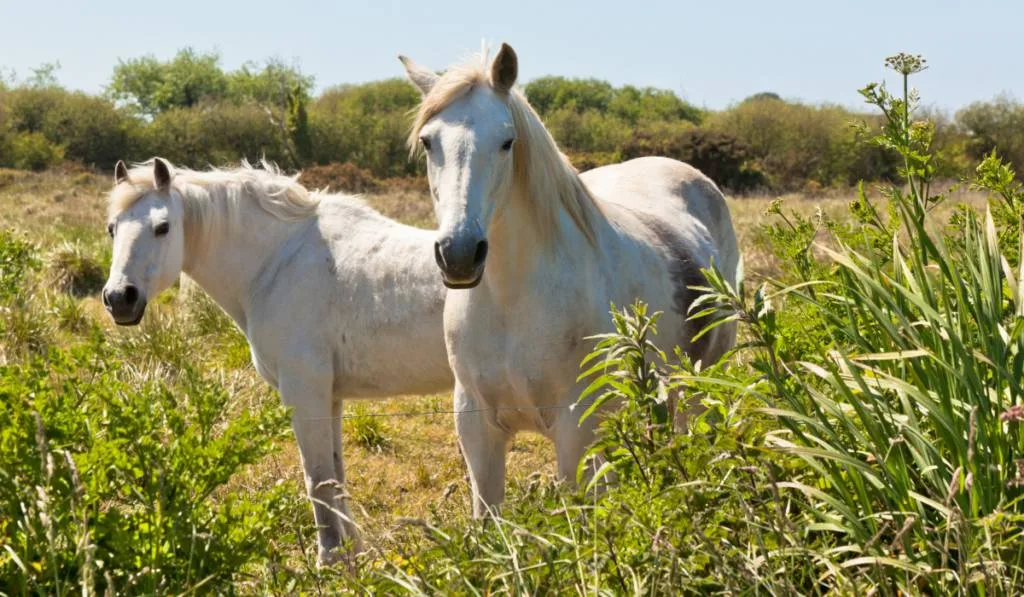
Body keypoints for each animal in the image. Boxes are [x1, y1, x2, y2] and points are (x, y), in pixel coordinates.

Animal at [101, 158, 450, 565]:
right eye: (112, 228)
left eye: (162, 227)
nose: (119, 298)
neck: (279, 263)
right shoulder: (329, 398)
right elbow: (335, 478)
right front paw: (352, 557)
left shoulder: (304, 394)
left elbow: (317, 481)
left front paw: (329, 560)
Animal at [399, 44, 745, 516]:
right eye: (428, 142)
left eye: (506, 142)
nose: (460, 254)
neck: (512, 301)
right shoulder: (477, 427)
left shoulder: (575, 431)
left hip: (699, 383)